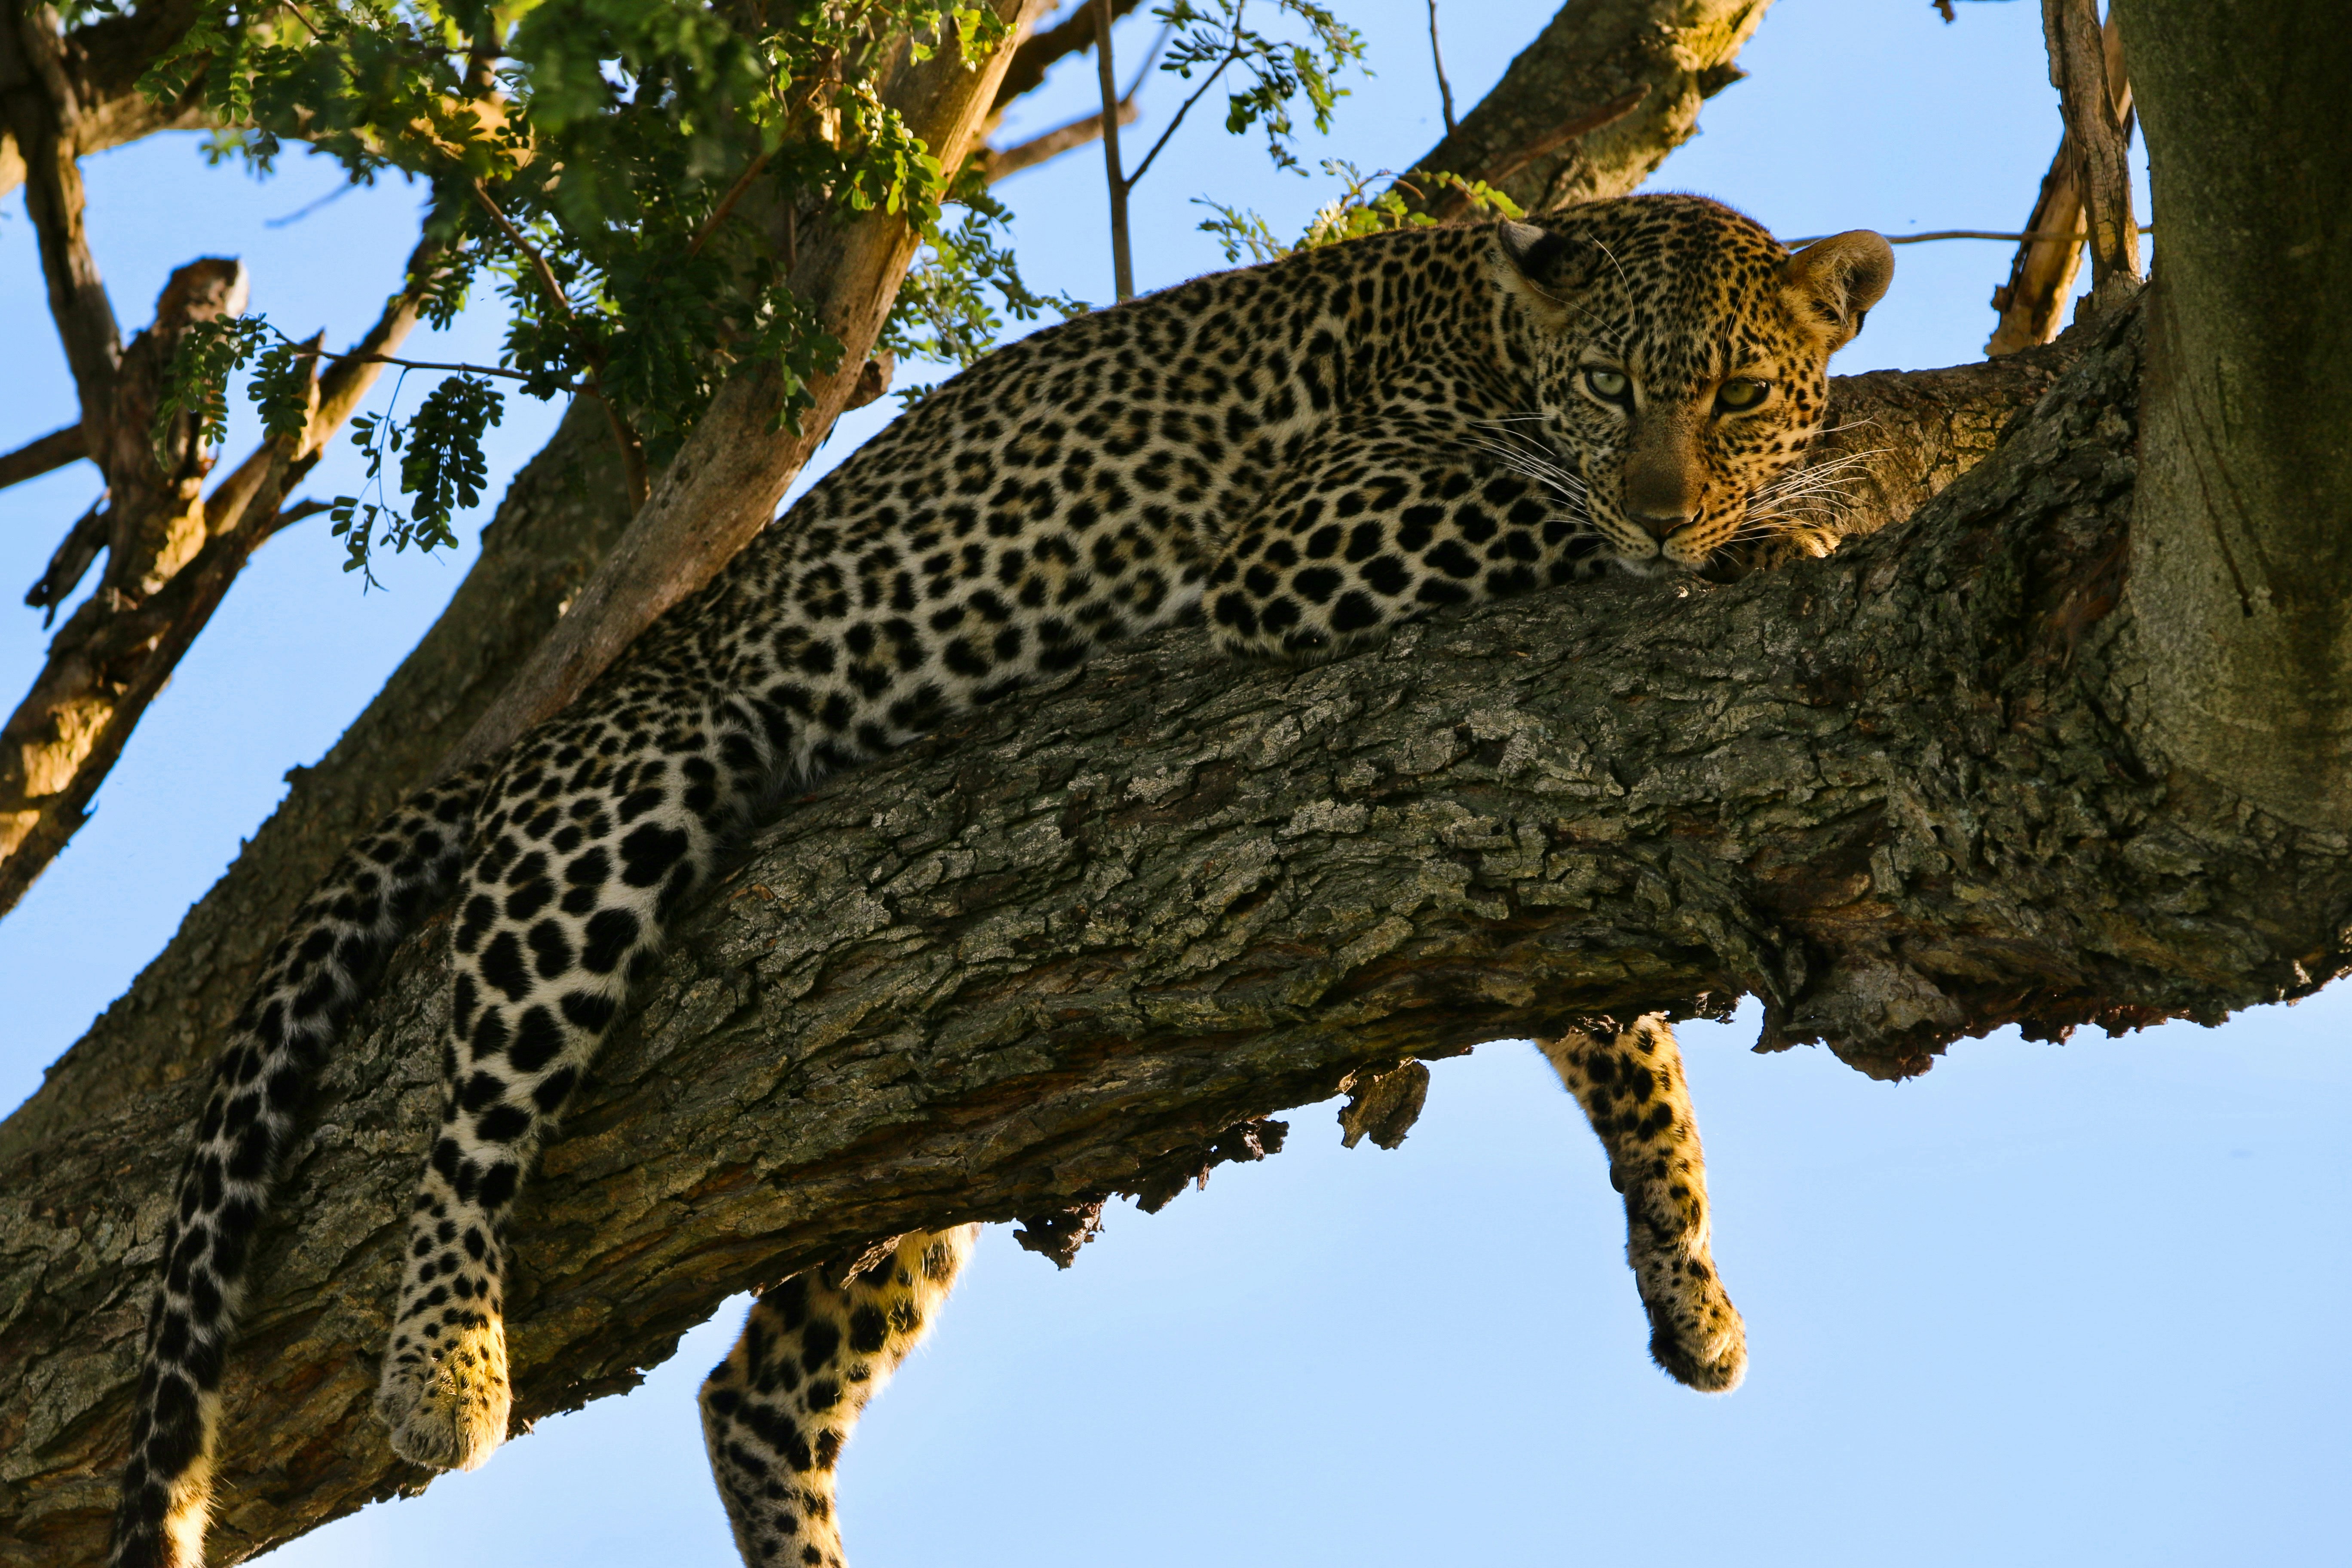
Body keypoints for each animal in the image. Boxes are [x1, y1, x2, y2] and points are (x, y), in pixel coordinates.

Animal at [109, 192, 1891, 1568]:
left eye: (1740, 392)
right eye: (1608, 387)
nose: (1669, 503)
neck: (1506, 336)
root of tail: (587, 691)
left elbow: (1618, 1039)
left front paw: (1688, 1281)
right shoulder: (1318, 531)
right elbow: (1548, 523)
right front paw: (1761, 541)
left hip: (917, 1127)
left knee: (756, 1392)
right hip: (621, 801)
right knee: (474, 1105)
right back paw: (443, 1361)